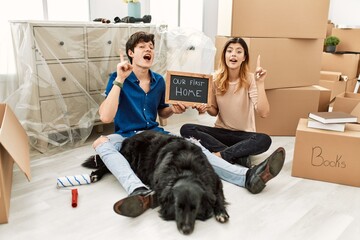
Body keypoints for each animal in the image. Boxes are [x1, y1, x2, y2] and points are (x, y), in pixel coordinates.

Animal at [82, 130, 229, 235]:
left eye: (195, 208)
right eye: (178, 207)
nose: (186, 230)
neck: (187, 170)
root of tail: (129, 138)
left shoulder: (215, 181)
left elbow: (218, 197)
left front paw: (221, 212)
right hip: (129, 158)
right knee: (108, 165)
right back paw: (95, 175)